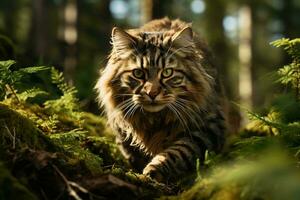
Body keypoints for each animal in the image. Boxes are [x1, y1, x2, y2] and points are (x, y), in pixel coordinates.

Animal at [95, 18, 225, 182]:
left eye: (167, 73)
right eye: (138, 73)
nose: (152, 93)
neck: (155, 119)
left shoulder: (209, 127)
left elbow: (179, 151)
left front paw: (154, 169)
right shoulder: (122, 130)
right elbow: (133, 154)